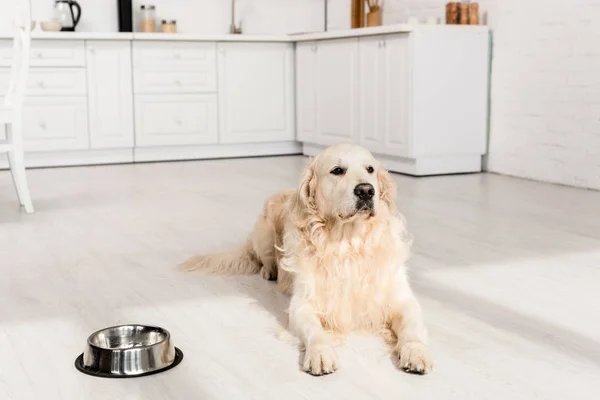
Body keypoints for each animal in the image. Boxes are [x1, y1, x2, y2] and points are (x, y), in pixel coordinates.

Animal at [180, 144, 434, 376]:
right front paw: (320, 353)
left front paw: (415, 351)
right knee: (264, 259)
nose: (365, 191)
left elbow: (411, 328)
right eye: (337, 170)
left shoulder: (403, 300)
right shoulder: (302, 305)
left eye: (370, 169)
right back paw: (269, 271)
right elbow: (315, 330)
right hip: (264, 234)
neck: (349, 243)